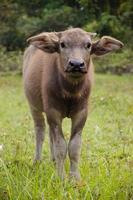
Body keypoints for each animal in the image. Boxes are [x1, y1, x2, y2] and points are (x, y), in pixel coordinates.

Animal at [23, 27, 123, 180]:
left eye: (88, 45)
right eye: (62, 44)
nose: (76, 64)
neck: (70, 92)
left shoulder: (81, 113)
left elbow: (74, 147)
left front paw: (75, 178)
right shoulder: (53, 111)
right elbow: (60, 146)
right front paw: (61, 177)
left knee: (50, 134)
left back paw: (53, 161)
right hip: (34, 106)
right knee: (40, 131)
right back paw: (37, 161)